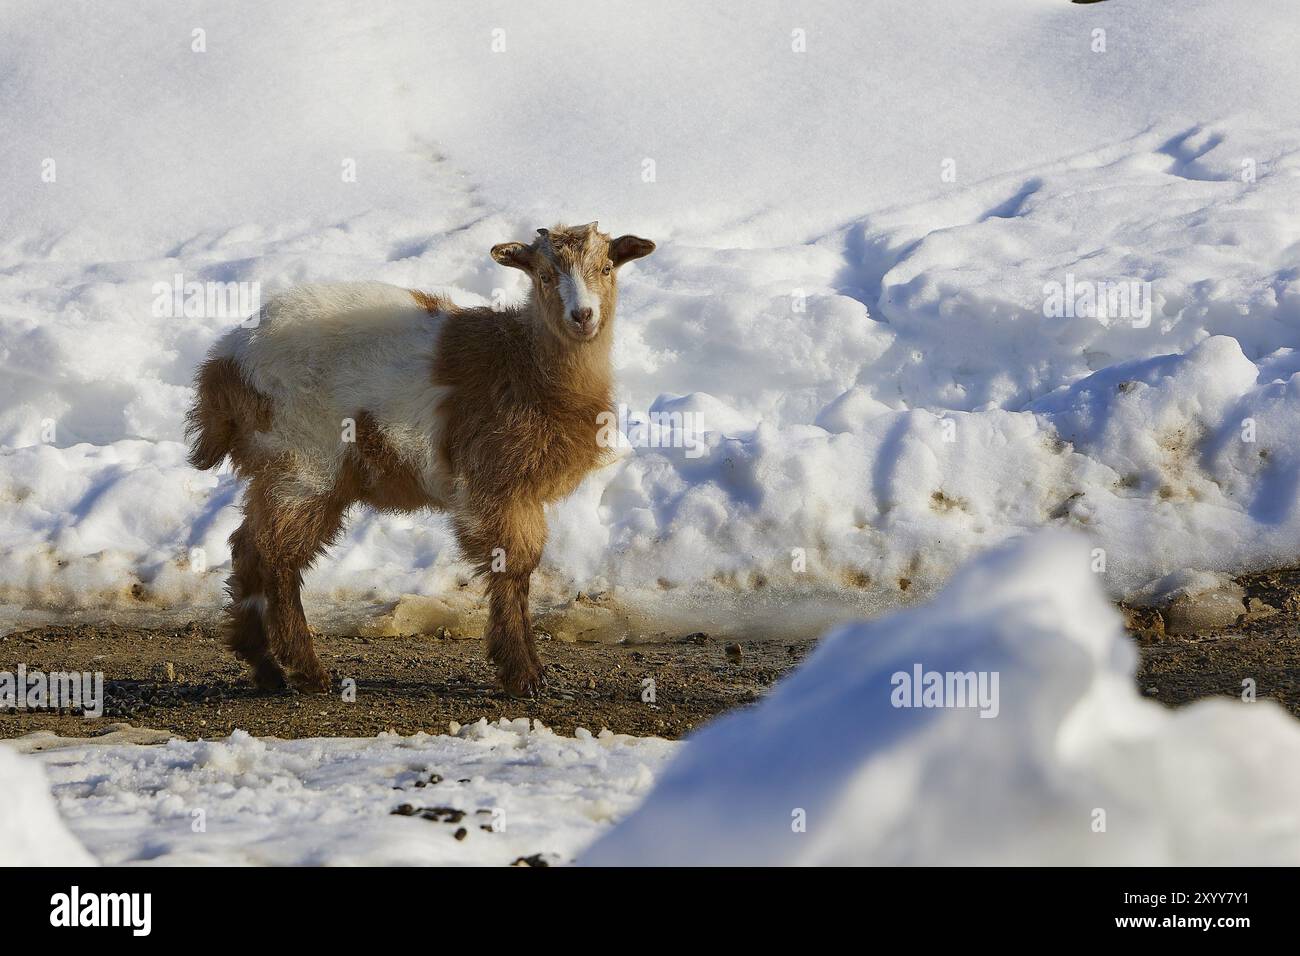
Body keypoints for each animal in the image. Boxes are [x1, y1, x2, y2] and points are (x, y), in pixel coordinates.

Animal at [185, 222, 650, 697]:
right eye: (543, 275)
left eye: (606, 267)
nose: (583, 315)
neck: (522, 360)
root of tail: (225, 364)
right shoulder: (493, 484)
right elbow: (512, 568)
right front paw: (523, 674)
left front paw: (525, 669)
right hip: (303, 462)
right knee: (277, 557)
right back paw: (305, 669)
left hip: (277, 466)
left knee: (248, 549)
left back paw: (264, 667)